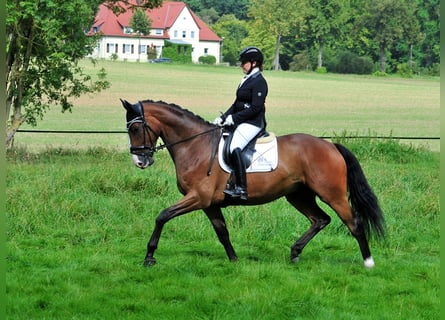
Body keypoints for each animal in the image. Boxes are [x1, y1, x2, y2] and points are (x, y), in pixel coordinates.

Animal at [119, 98, 384, 268]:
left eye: (135, 128)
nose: (140, 161)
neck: (194, 145)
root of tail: (330, 146)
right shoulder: (209, 204)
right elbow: (222, 231)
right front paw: (234, 260)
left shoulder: (198, 197)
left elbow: (162, 216)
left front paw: (149, 257)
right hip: (298, 195)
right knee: (320, 219)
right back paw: (295, 253)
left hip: (332, 194)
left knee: (353, 223)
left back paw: (368, 262)